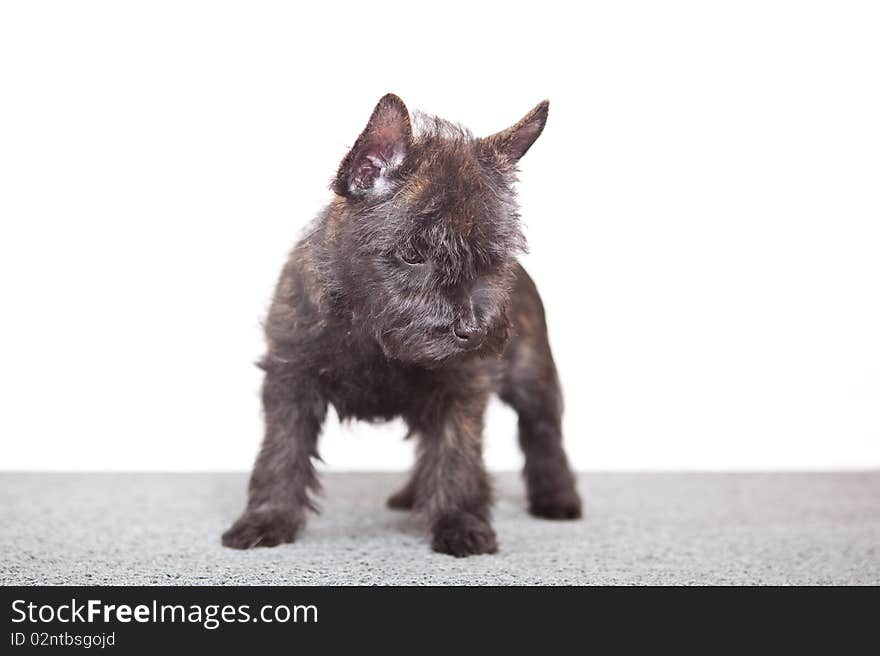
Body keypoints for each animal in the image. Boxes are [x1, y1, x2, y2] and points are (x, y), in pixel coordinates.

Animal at [223, 95, 580, 556]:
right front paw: (266, 519)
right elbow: (280, 452)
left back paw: (558, 497)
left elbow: (457, 454)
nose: (472, 329)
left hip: (533, 377)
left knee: (543, 433)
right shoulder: (291, 380)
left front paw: (460, 522)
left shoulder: (460, 388)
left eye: (491, 258)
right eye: (413, 255)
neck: (370, 333)